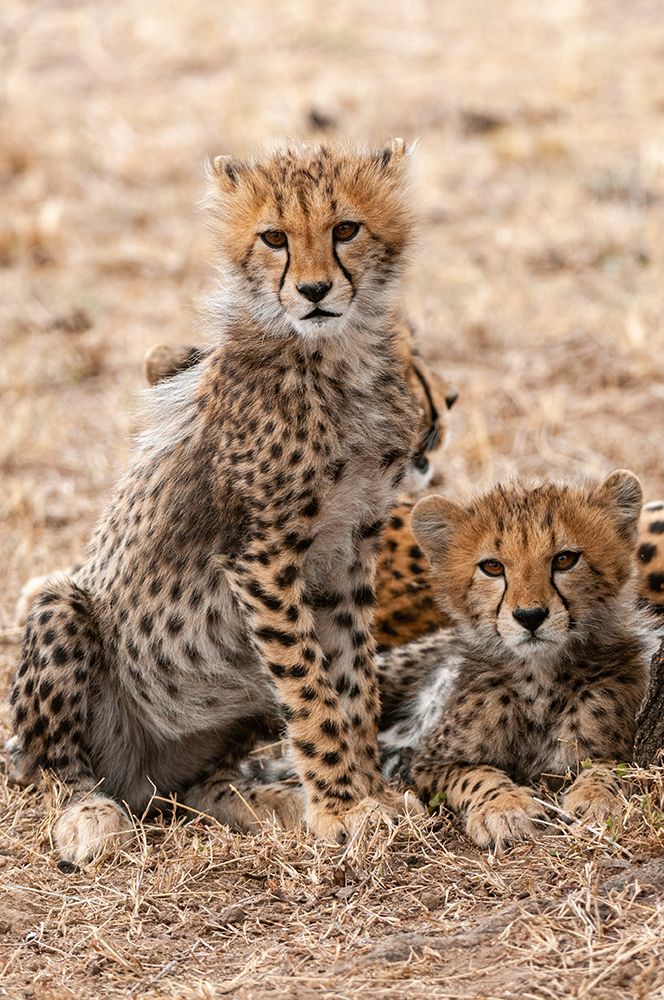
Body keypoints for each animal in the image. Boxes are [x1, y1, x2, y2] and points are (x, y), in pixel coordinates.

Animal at [7, 140, 425, 865]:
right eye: (274, 238)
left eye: (346, 228)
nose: (314, 291)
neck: (333, 357)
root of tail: (141, 777)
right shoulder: (260, 557)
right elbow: (312, 691)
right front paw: (342, 807)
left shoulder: (349, 550)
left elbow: (350, 681)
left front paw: (367, 795)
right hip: (61, 608)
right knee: (52, 769)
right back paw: (89, 815)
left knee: (197, 788)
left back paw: (264, 800)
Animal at [376, 470, 657, 851]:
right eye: (492, 567)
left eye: (565, 559)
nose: (530, 616)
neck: (540, 677)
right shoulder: (430, 762)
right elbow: (476, 774)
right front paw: (505, 808)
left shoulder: (622, 744)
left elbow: (608, 766)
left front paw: (597, 797)